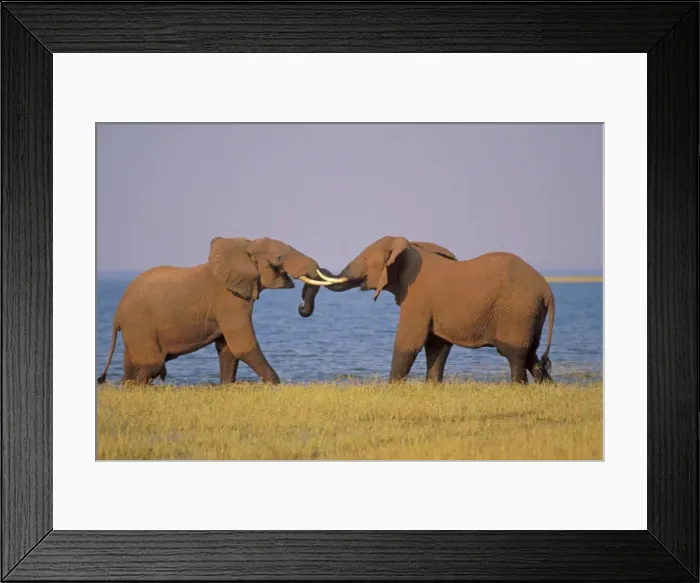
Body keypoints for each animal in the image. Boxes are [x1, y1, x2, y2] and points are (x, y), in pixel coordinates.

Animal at [97, 237, 332, 386]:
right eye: (279, 258)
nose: (301, 307)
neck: (244, 247)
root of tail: (116, 315)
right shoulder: (230, 300)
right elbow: (242, 344)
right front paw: (275, 384)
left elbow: (227, 349)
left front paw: (227, 386)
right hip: (140, 324)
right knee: (153, 365)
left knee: (132, 366)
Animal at [301, 236, 555, 385]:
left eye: (364, 259)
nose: (302, 308)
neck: (410, 248)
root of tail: (547, 291)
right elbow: (437, 345)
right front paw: (432, 387)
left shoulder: (417, 297)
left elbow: (409, 341)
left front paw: (393, 389)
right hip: (530, 314)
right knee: (530, 353)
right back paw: (547, 387)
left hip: (517, 313)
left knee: (514, 354)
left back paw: (518, 388)